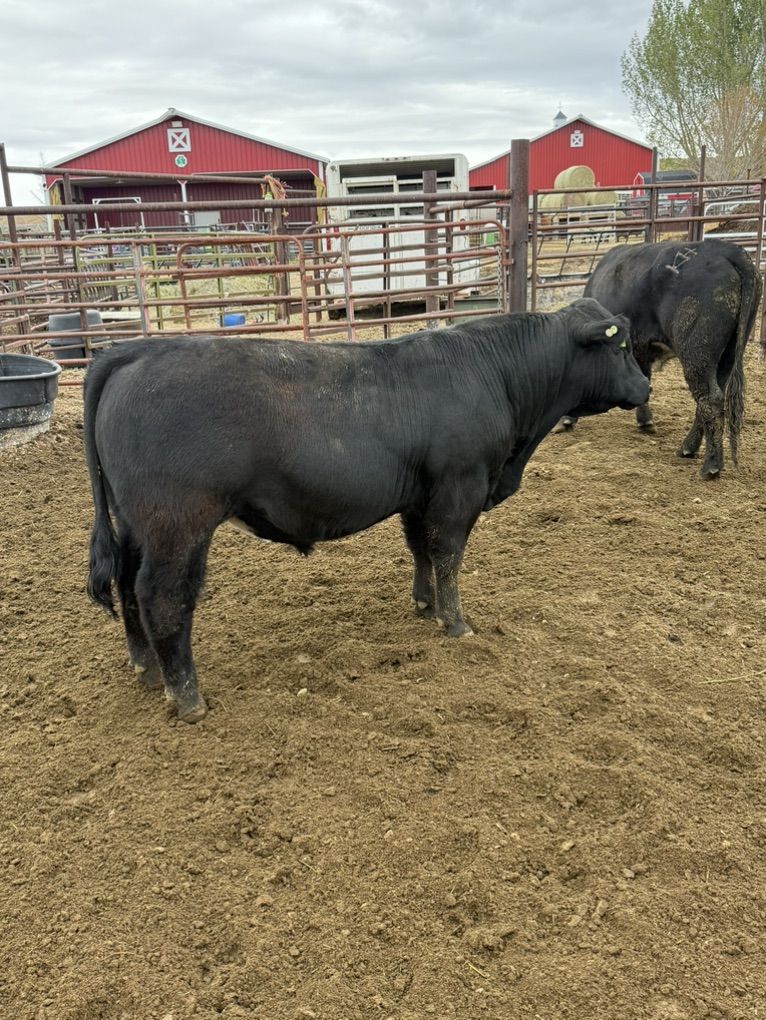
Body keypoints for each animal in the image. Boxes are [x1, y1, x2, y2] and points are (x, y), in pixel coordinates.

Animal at [84, 299, 650, 722]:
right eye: (620, 345)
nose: (646, 386)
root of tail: (136, 350)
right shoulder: (460, 488)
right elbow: (448, 554)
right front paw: (456, 622)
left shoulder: (420, 496)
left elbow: (421, 549)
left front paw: (424, 604)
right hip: (177, 525)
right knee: (161, 598)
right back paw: (187, 697)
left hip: (135, 526)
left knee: (126, 586)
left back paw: (145, 667)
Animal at [553, 240, 762, 480]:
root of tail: (729, 249)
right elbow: (644, 381)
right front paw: (645, 420)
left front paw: (567, 419)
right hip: (727, 355)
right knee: (709, 399)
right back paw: (688, 448)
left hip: (697, 354)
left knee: (710, 399)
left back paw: (711, 464)